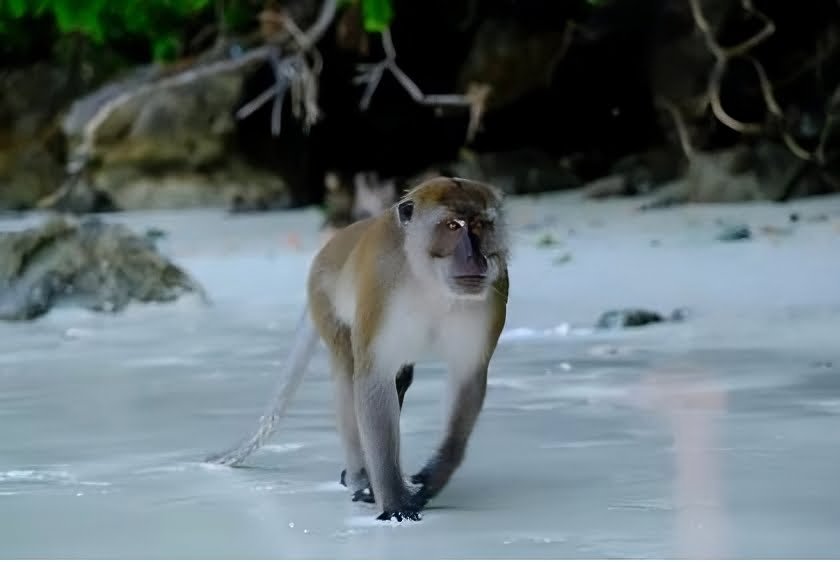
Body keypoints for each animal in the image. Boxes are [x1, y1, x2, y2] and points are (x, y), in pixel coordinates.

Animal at [207, 176, 509, 522]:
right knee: (347, 373)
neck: (430, 281)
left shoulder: (494, 293)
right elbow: (372, 378)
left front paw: (434, 477)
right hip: (325, 301)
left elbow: (467, 378)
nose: (475, 258)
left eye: (481, 225)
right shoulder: (380, 286)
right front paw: (393, 501)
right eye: (452, 226)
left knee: (398, 378)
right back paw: (359, 477)